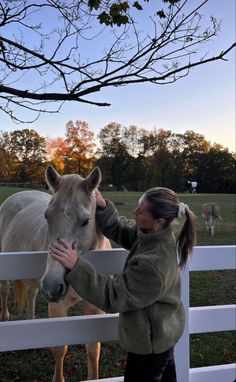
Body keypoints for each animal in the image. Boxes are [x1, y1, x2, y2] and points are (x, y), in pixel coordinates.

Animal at [0, 166, 111, 382]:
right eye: (47, 216)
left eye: (86, 221)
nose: (53, 286)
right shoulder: (57, 307)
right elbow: (60, 348)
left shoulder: (96, 309)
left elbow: (93, 349)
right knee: (5, 292)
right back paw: (5, 318)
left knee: (31, 294)